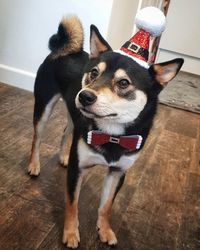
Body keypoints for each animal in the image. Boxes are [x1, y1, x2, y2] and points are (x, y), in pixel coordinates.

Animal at [27, 15, 184, 248]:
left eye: (123, 83)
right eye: (94, 73)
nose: (84, 96)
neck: (112, 135)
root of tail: (64, 50)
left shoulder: (117, 172)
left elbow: (106, 206)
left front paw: (105, 229)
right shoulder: (78, 169)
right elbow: (72, 204)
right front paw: (71, 233)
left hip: (73, 116)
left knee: (66, 131)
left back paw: (63, 156)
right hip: (44, 108)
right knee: (37, 139)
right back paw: (34, 165)